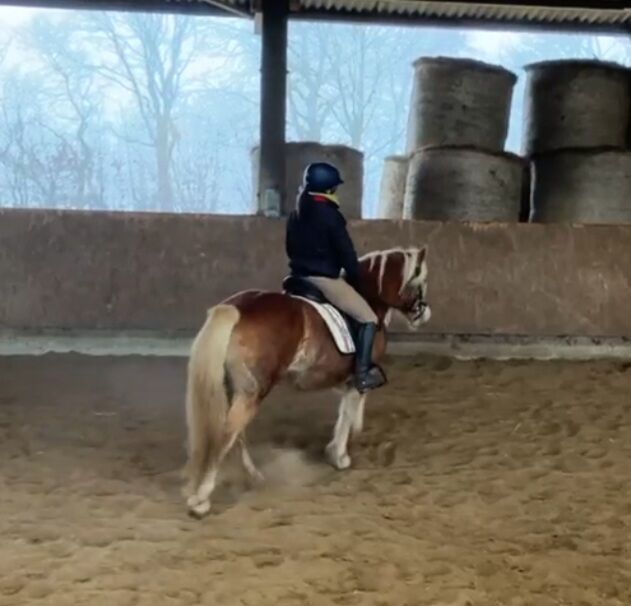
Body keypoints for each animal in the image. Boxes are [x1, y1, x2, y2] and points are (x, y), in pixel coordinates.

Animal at [181, 246, 430, 516]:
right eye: (421, 281)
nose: (424, 314)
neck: (370, 297)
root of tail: (237, 309)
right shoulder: (357, 378)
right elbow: (349, 412)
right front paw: (340, 456)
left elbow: (345, 411)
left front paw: (338, 447)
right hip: (252, 393)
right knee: (227, 434)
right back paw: (201, 499)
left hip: (235, 389)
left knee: (237, 435)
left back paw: (253, 477)